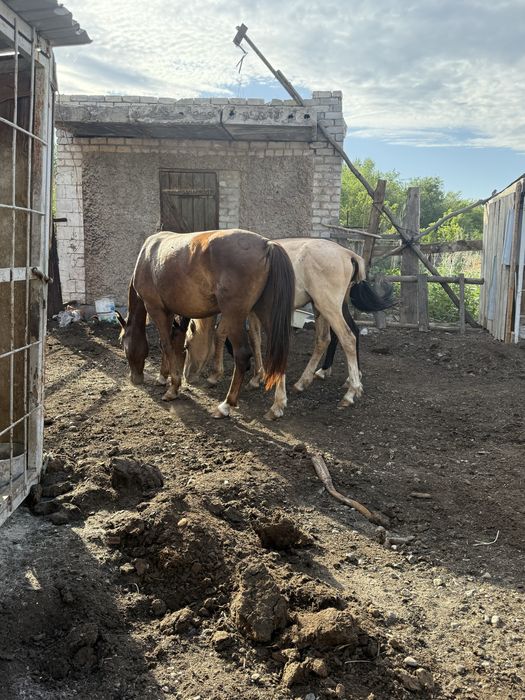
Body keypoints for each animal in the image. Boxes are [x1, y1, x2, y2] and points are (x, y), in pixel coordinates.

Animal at [116, 229, 295, 418]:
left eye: (122, 343)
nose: (135, 379)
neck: (147, 256)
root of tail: (267, 245)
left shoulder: (156, 309)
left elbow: (166, 345)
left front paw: (173, 387)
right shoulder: (169, 311)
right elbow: (169, 343)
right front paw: (163, 377)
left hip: (235, 316)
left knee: (242, 355)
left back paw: (226, 405)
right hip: (264, 312)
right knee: (279, 352)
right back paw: (277, 405)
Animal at [184, 237, 394, 419]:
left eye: (187, 345)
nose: (187, 377)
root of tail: (348, 253)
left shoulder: (240, 311)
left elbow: (225, 334)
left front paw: (218, 376)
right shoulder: (253, 312)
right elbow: (255, 339)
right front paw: (258, 376)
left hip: (328, 306)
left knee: (347, 337)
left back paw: (350, 392)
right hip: (325, 306)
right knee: (330, 338)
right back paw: (311, 380)